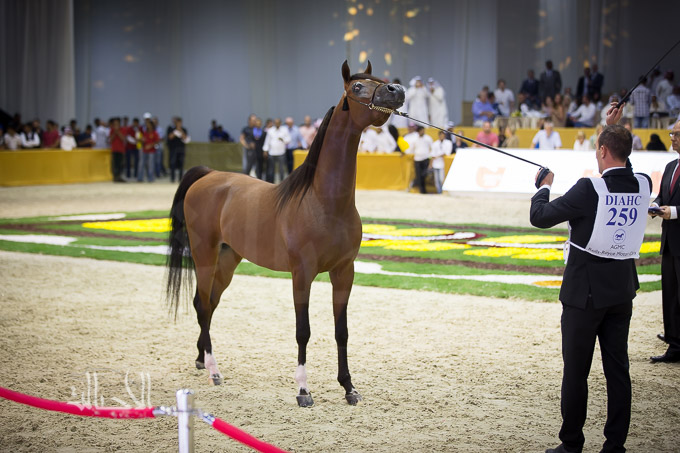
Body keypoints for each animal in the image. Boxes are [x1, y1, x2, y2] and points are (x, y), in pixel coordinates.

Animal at [166, 60, 405, 407]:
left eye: (381, 80)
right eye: (357, 87)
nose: (396, 90)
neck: (325, 202)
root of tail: (208, 175)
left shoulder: (344, 272)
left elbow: (342, 331)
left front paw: (348, 387)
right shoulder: (302, 274)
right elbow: (303, 330)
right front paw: (303, 391)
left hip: (227, 260)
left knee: (208, 305)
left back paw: (200, 359)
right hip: (204, 254)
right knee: (202, 305)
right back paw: (213, 370)